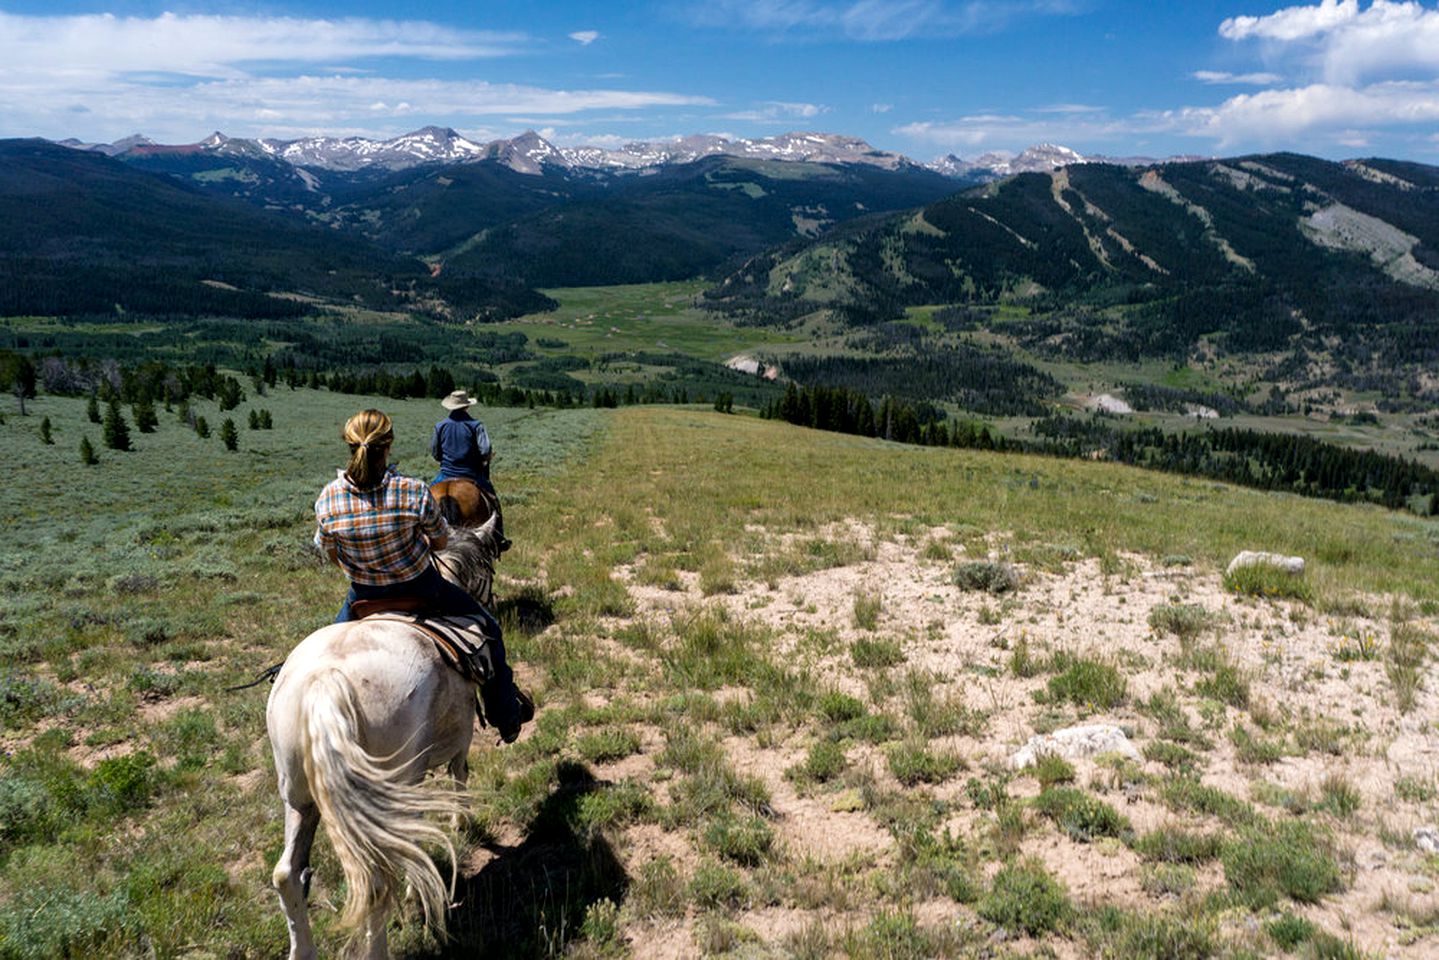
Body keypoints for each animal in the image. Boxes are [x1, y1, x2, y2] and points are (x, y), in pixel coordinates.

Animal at [269, 521, 500, 955]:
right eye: (487, 570)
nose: (491, 601)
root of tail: (325, 683)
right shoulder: (455, 743)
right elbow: (459, 777)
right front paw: (461, 823)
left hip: (300, 797)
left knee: (287, 874)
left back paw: (303, 950)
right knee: (374, 882)